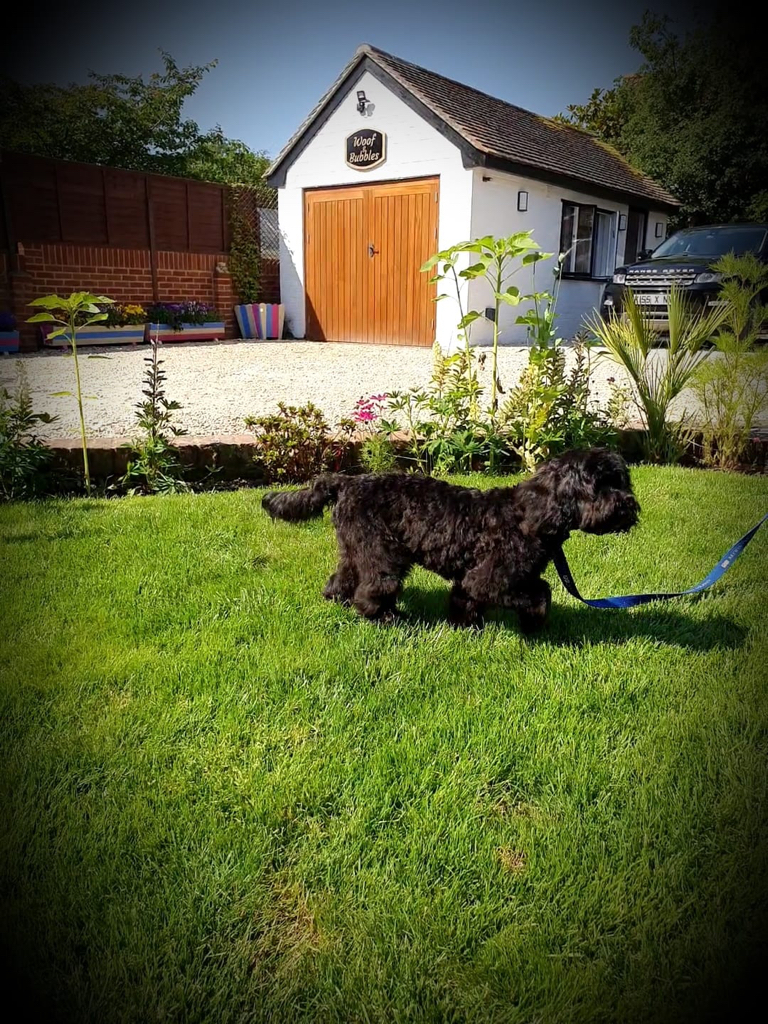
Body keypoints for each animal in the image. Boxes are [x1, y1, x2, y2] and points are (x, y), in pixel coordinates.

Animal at [262, 450, 638, 630]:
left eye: (621, 481)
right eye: (599, 485)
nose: (629, 505)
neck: (530, 513)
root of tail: (345, 482)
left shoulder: (475, 578)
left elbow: (466, 599)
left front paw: (466, 626)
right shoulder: (492, 579)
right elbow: (540, 594)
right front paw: (533, 623)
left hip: (356, 548)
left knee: (341, 579)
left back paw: (337, 602)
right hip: (383, 554)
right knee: (373, 589)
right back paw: (385, 618)